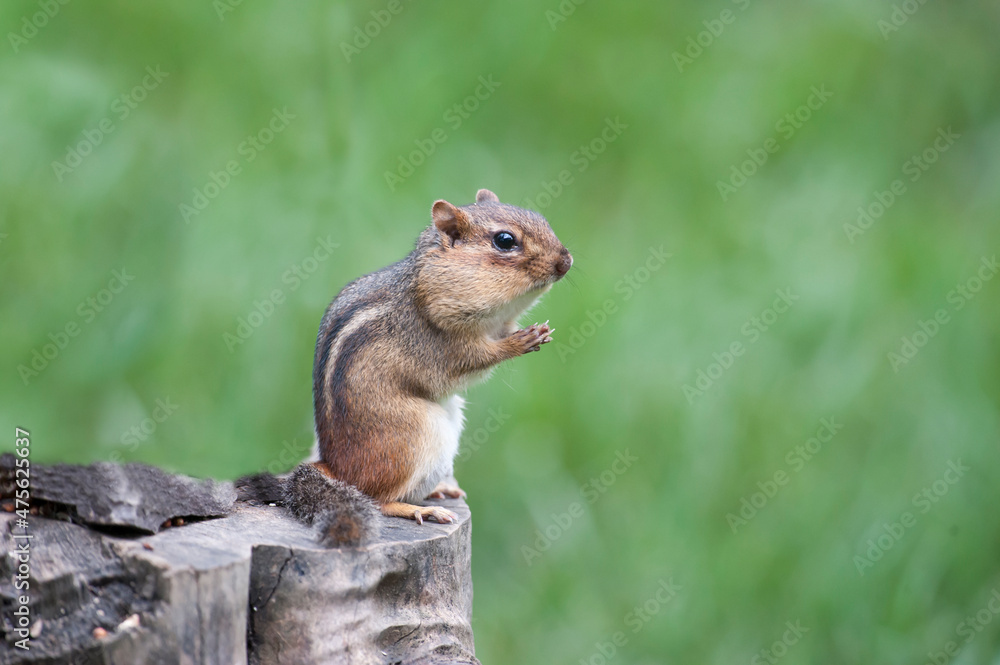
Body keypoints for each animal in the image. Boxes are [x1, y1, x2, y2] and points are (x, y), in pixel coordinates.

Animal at [237, 188, 572, 546]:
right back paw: (418, 509)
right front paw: (521, 342)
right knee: (377, 499)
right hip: (416, 436)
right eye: (505, 240)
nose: (566, 261)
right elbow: (472, 360)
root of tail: (332, 467)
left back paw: (438, 492)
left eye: (543, 220)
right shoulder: (440, 343)